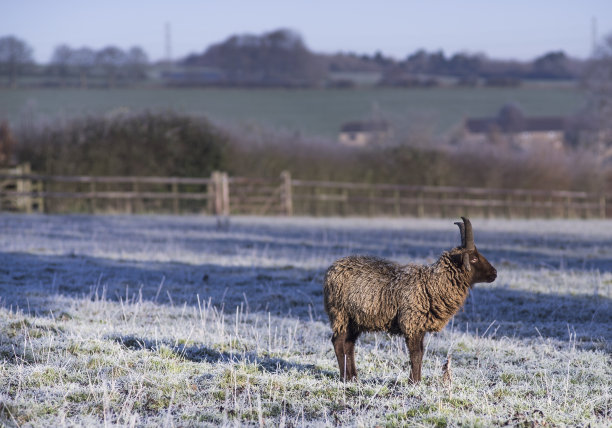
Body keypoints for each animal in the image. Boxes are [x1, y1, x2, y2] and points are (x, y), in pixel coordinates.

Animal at [322, 216, 494, 382]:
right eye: (473, 259)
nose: (494, 273)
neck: (432, 285)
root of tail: (331, 270)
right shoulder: (412, 323)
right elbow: (416, 354)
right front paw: (414, 382)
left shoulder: (420, 326)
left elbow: (421, 353)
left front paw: (416, 380)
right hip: (341, 314)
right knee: (338, 343)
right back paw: (345, 378)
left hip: (355, 320)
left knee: (348, 345)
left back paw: (353, 378)